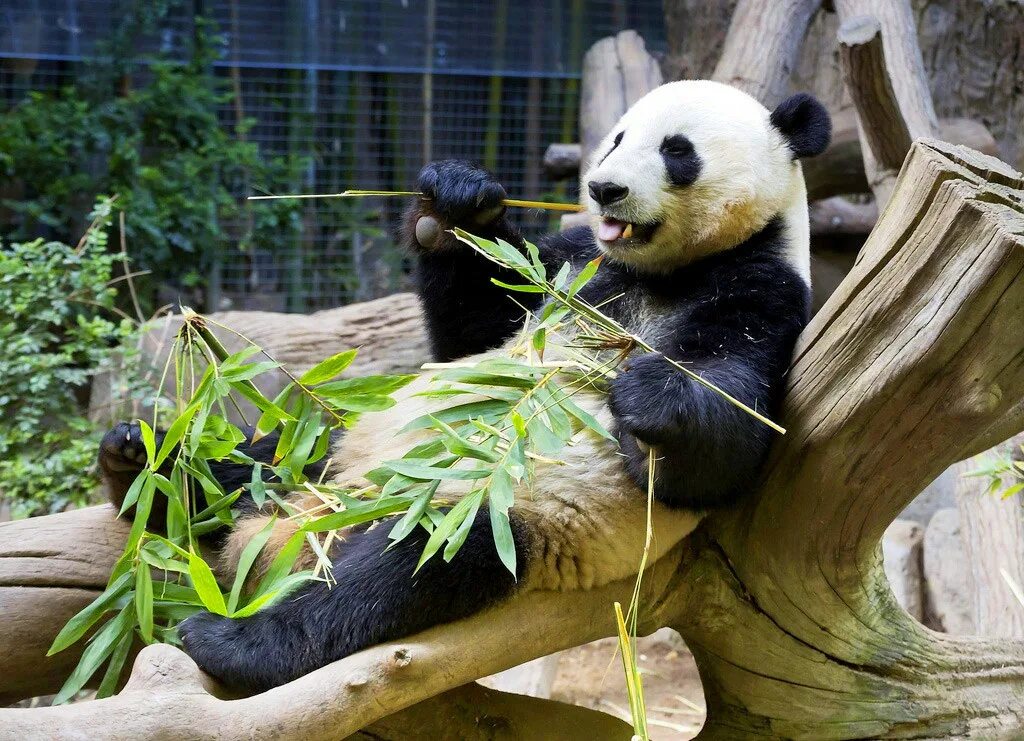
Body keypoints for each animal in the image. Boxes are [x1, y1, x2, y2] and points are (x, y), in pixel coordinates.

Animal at [97, 80, 831, 695]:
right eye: (618, 138)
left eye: (677, 151)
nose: (604, 189)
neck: (655, 270)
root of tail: (302, 521)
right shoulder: (571, 265)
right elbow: (479, 326)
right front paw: (454, 202)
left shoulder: (762, 290)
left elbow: (720, 450)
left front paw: (654, 395)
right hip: (335, 447)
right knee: (259, 459)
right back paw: (141, 462)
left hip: (493, 515)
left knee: (397, 571)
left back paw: (233, 639)